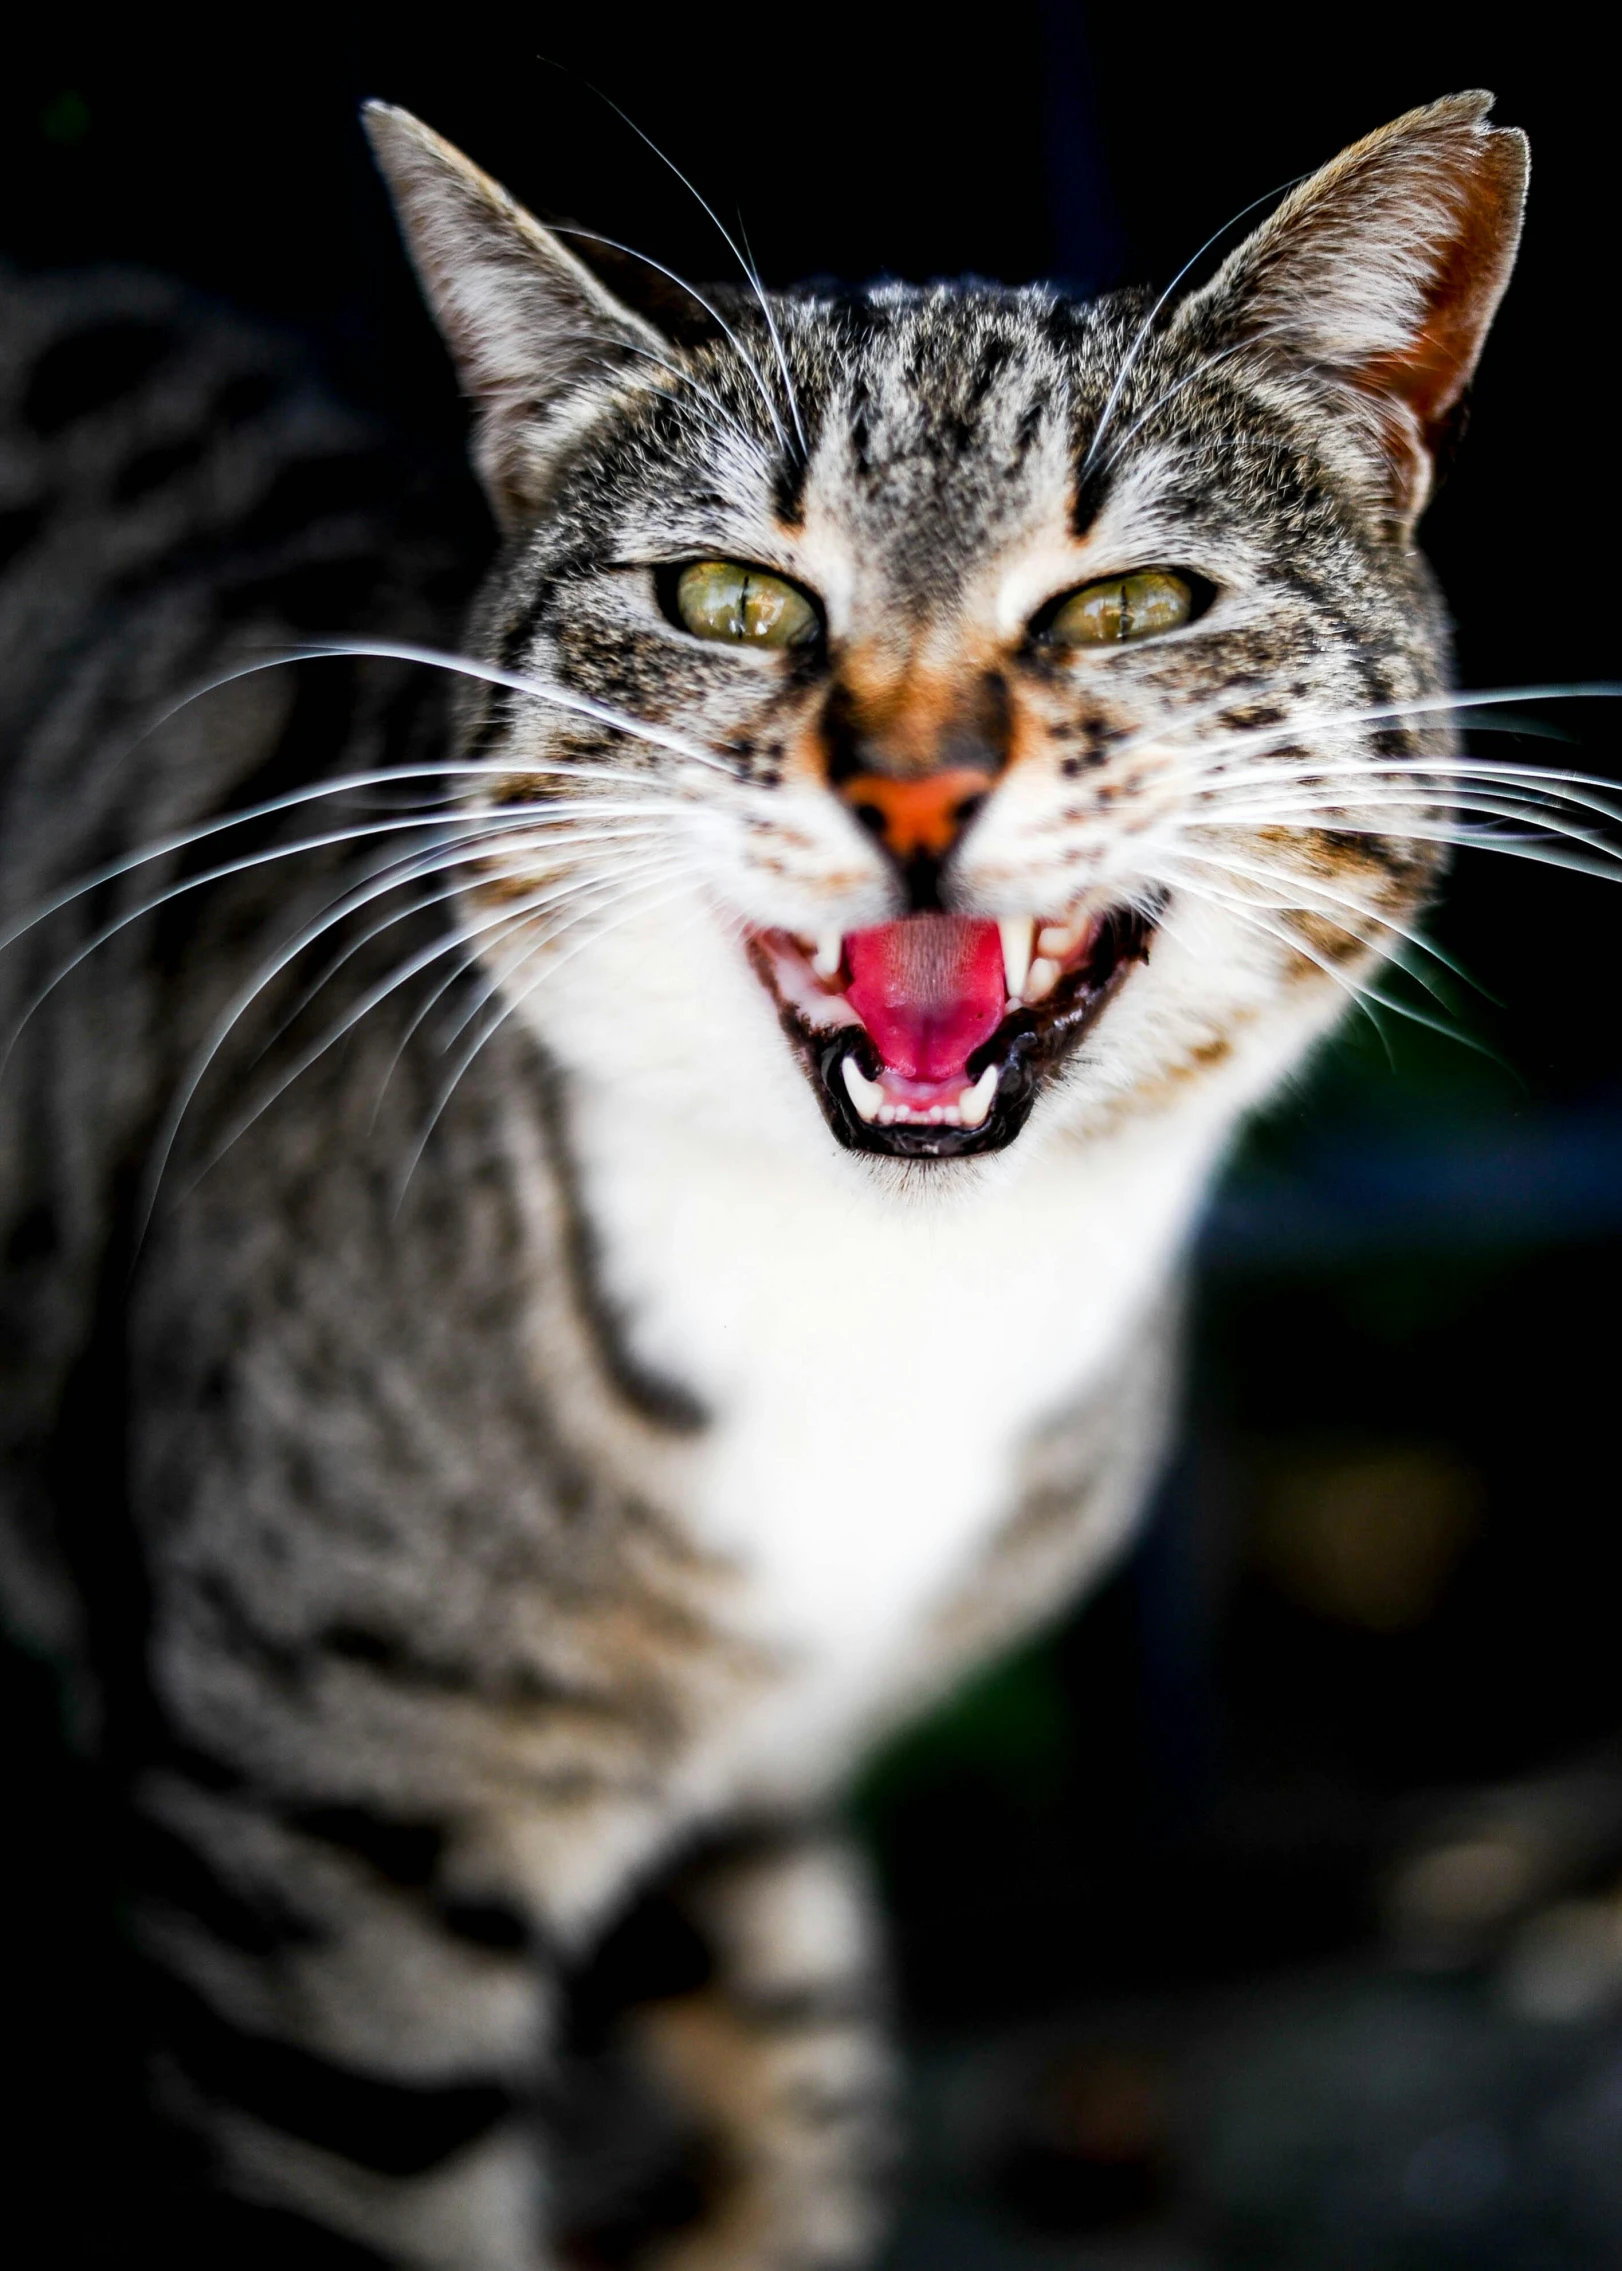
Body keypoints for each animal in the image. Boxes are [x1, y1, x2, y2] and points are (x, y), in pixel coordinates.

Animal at [0, 88, 1517, 2271]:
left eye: (1125, 607)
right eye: (732, 601)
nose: (915, 783)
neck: (882, 1305)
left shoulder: (751, 1794)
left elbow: (793, 2109)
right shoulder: (318, 1852)